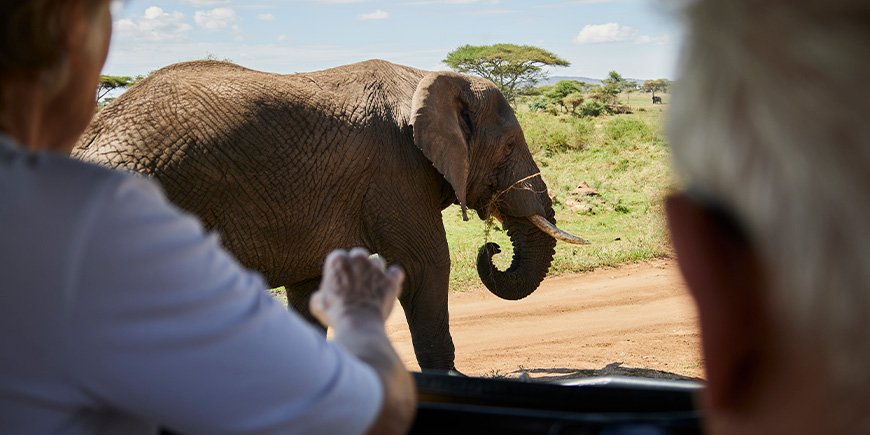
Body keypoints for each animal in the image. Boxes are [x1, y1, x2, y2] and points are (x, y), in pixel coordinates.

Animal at [73, 59, 587, 372]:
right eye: (509, 147)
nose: (492, 246)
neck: (425, 76)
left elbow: (311, 288)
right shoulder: (396, 170)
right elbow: (424, 267)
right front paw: (452, 379)